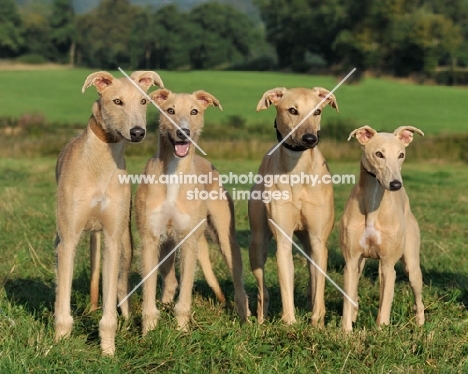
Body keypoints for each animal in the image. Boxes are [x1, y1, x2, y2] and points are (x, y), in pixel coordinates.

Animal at [55, 70, 163, 354]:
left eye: (144, 101)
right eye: (117, 101)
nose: (138, 132)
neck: (100, 161)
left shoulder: (113, 239)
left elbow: (109, 312)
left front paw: (108, 351)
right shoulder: (68, 239)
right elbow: (63, 299)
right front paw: (58, 344)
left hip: (126, 245)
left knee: (121, 288)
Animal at [136, 90, 249, 334]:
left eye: (194, 111)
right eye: (170, 110)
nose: (183, 133)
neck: (173, 173)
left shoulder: (188, 241)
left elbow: (186, 295)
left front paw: (181, 331)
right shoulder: (150, 239)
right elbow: (149, 291)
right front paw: (148, 332)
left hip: (226, 238)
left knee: (238, 283)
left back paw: (246, 317)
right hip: (167, 245)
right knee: (171, 282)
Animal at [250, 87, 338, 324]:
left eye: (317, 111)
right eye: (292, 110)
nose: (310, 139)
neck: (298, 169)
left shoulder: (318, 240)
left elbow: (319, 283)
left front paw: (317, 322)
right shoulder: (283, 239)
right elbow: (285, 283)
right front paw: (289, 321)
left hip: (309, 242)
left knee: (312, 273)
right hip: (258, 243)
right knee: (262, 288)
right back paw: (260, 320)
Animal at [340, 125, 424, 330]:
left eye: (401, 155)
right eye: (379, 154)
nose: (396, 184)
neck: (374, 204)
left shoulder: (388, 265)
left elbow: (385, 304)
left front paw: (381, 332)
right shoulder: (351, 261)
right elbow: (347, 299)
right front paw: (346, 332)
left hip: (411, 265)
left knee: (418, 297)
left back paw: (420, 325)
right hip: (362, 264)